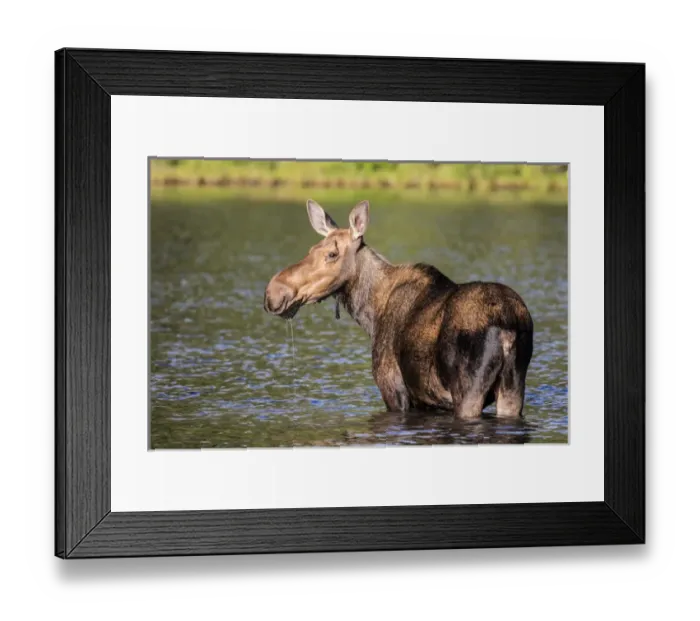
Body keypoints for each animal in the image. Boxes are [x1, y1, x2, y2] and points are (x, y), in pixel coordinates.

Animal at [263, 200, 534, 419]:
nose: (273, 291)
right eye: (311, 250)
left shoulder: (393, 389)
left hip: (468, 393)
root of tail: (509, 327)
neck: (370, 314)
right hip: (513, 389)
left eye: (332, 254)